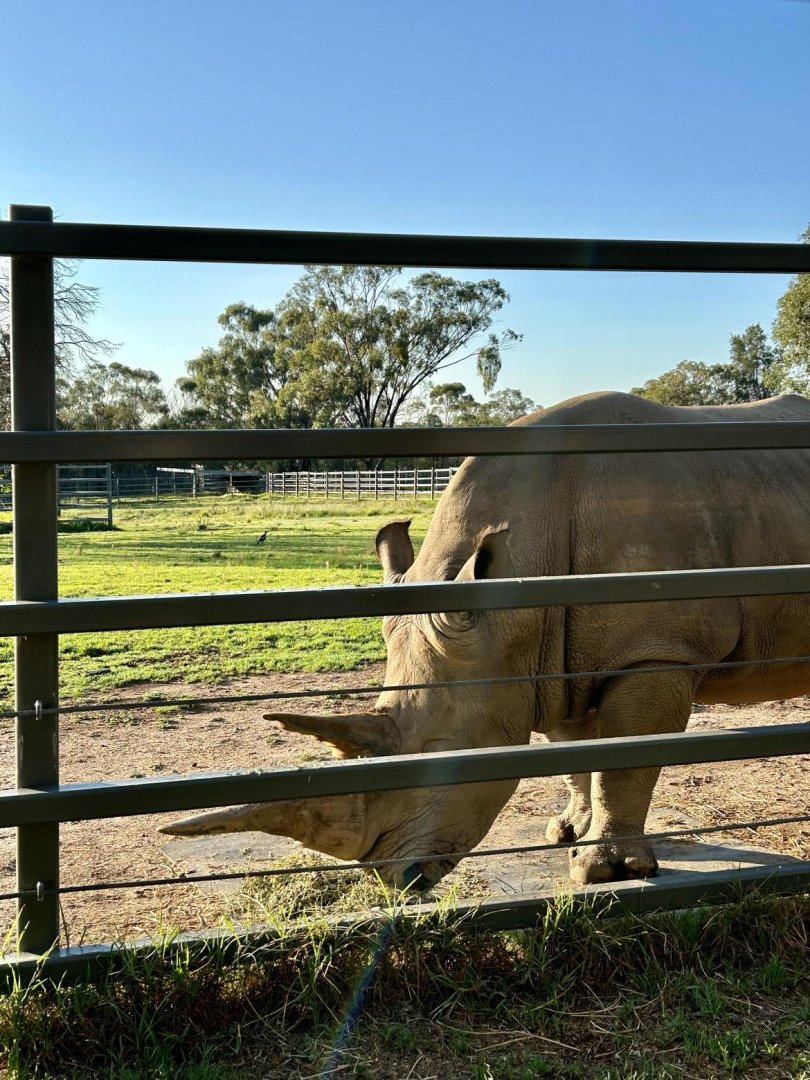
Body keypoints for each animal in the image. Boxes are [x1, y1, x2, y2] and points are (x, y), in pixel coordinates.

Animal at [162, 391, 810, 887]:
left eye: (442, 754)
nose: (399, 881)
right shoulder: (554, 655)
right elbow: (577, 752)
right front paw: (566, 832)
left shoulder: (656, 653)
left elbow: (626, 763)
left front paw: (606, 871)